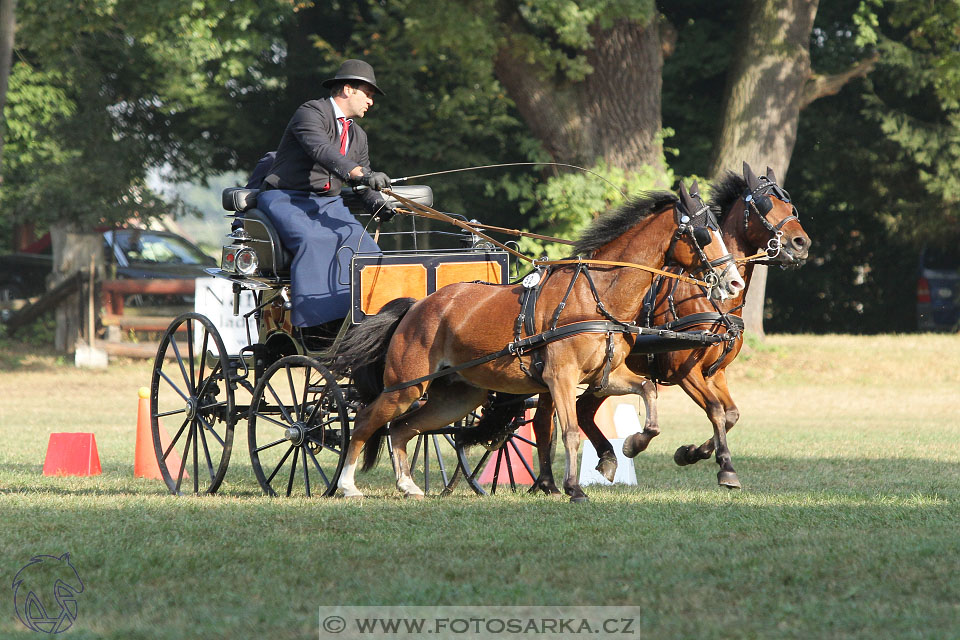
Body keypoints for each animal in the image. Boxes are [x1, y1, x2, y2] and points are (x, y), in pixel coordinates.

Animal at [334, 182, 748, 502]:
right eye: (703, 233)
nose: (734, 282)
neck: (595, 295)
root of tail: (416, 306)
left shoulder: (606, 376)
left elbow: (646, 392)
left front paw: (632, 444)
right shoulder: (560, 378)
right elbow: (568, 431)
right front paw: (574, 488)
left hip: (455, 397)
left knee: (403, 429)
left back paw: (407, 485)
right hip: (405, 387)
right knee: (368, 421)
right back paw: (346, 485)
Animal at [528, 162, 812, 492]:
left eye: (790, 206)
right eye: (765, 205)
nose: (802, 244)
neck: (706, 296)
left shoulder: (716, 372)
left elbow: (730, 414)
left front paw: (691, 453)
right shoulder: (683, 371)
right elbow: (715, 410)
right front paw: (725, 468)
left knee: (581, 410)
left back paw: (603, 460)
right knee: (544, 420)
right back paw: (547, 481)